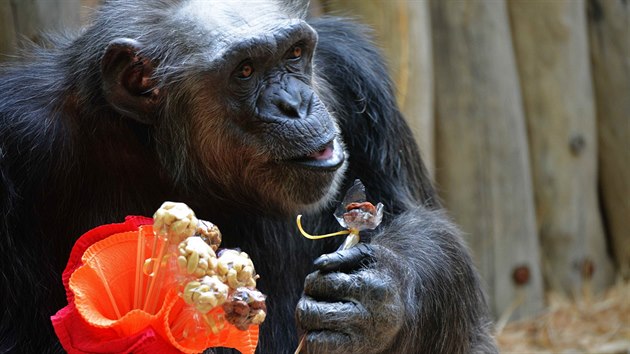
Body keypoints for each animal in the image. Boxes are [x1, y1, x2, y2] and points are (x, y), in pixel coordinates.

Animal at [0, 0, 498, 354]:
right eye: (245, 70)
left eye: (294, 53)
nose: (295, 103)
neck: (160, 144)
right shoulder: (16, 139)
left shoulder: (355, 74)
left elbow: (413, 216)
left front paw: (377, 297)